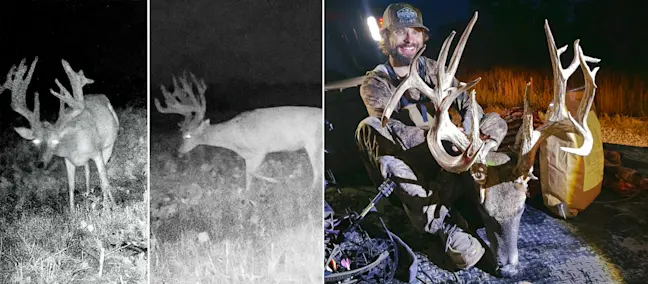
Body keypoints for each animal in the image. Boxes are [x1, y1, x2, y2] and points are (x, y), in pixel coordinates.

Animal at [3, 57, 119, 211]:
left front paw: (111, 207)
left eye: (55, 141)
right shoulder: (67, 160)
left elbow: (104, 180)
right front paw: (72, 212)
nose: (40, 164)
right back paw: (88, 194)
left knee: (100, 174)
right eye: (35, 141)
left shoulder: (97, 153)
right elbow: (71, 186)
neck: (74, 145)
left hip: (109, 146)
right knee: (87, 171)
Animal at [154, 71, 322, 191]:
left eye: (187, 135)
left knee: (317, 170)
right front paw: (248, 196)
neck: (234, 138)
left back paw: (311, 190)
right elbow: (247, 177)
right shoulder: (248, 156)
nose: (179, 152)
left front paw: (278, 181)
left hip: (313, 142)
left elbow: (252, 173)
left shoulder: (260, 149)